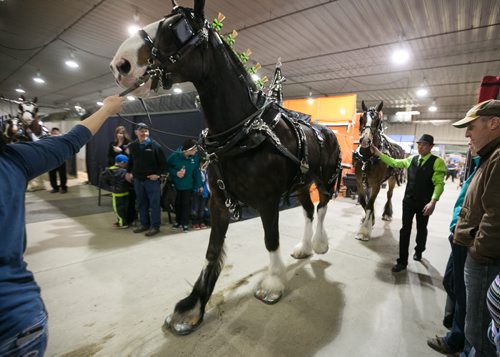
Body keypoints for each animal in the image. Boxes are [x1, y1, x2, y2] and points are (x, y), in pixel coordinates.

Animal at [111, 0, 342, 336]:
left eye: (176, 28)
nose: (120, 64)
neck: (244, 132)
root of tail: (327, 131)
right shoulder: (218, 202)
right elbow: (211, 251)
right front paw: (191, 308)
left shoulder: (268, 201)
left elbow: (270, 240)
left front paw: (273, 284)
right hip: (300, 183)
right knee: (309, 211)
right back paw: (303, 247)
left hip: (324, 179)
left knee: (322, 207)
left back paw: (319, 244)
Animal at [354, 100, 404, 239]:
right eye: (362, 118)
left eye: (377, 120)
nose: (365, 140)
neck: (367, 158)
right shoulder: (359, 182)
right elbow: (364, 202)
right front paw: (370, 220)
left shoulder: (376, 184)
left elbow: (370, 204)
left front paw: (364, 230)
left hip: (392, 179)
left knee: (389, 195)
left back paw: (387, 214)